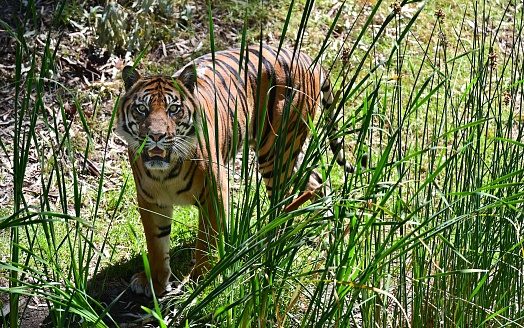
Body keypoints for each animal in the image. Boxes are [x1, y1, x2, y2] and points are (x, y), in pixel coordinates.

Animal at [114, 44, 352, 298]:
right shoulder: (150, 201)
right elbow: (156, 245)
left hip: (276, 152)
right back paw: (326, 223)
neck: (164, 174)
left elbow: (206, 241)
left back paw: (273, 241)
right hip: (286, 155)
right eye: (142, 108)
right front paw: (154, 282)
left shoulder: (215, 193)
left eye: (173, 109)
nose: (156, 136)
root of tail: (306, 57)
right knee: (316, 180)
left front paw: (201, 282)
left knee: (283, 201)